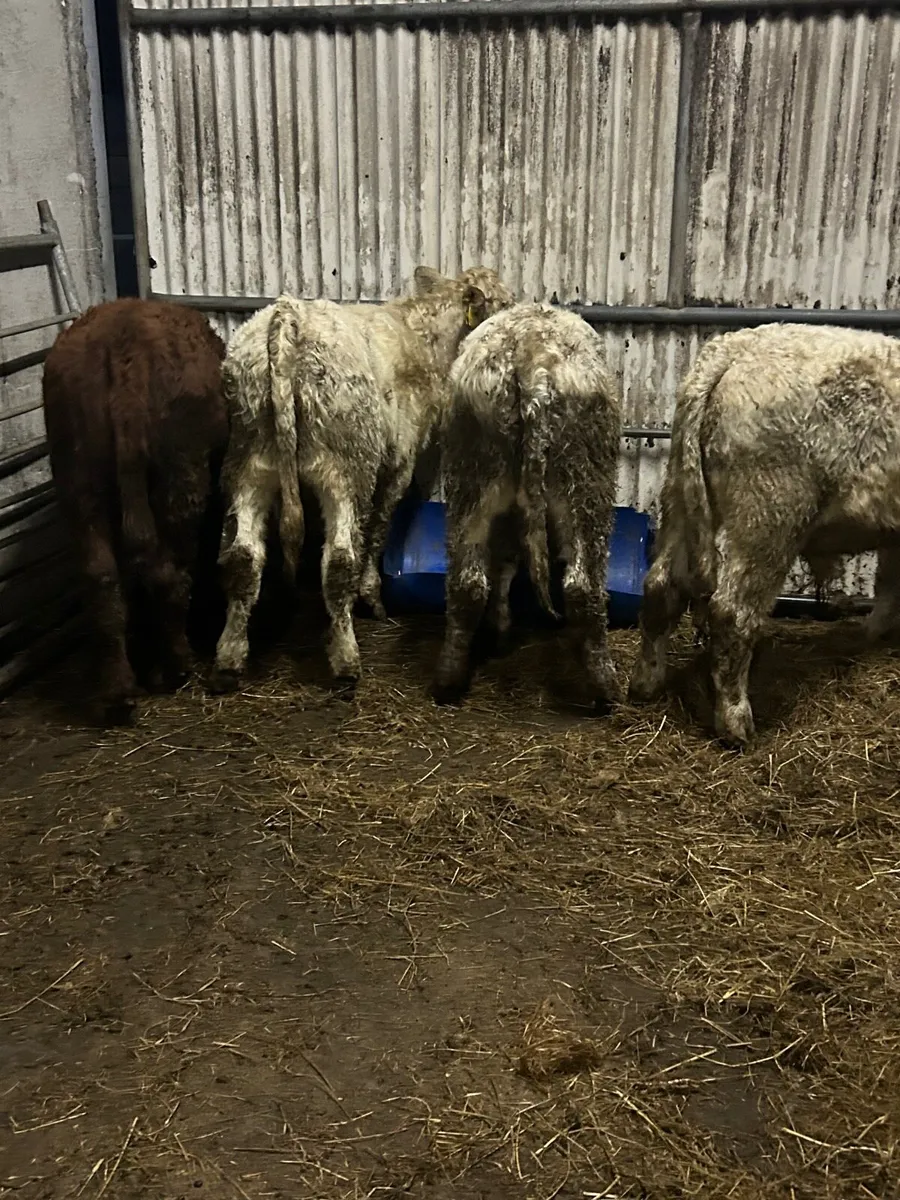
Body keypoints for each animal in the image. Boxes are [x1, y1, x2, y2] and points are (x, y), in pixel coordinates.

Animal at [42, 298, 227, 724]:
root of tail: (123, 344)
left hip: (80, 485)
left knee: (102, 579)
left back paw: (118, 693)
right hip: (179, 482)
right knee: (168, 574)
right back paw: (172, 669)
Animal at [209, 266, 515, 693]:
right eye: (503, 301)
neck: (420, 333)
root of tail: (287, 316)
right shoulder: (399, 462)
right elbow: (379, 526)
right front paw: (371, 598)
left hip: (248, 466)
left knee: (242, 559)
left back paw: (229, 659)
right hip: (342, 471)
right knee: (338, 561)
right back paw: (346, 661)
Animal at [432, 303, 623, 710]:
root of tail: (531, 359)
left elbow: (504, 563)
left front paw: (501, 630)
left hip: (472, 474)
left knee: (467, 580)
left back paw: (448, 678)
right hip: (584, 479)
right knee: (582, 583)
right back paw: (606, 686)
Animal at [627, 322, 900, 747]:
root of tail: (734, 348)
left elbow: (889, 584)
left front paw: (871, 635)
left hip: (679, 500)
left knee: (660, 589)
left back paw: (645, 684)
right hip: (769, 514)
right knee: (732, 613)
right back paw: (736, 723)